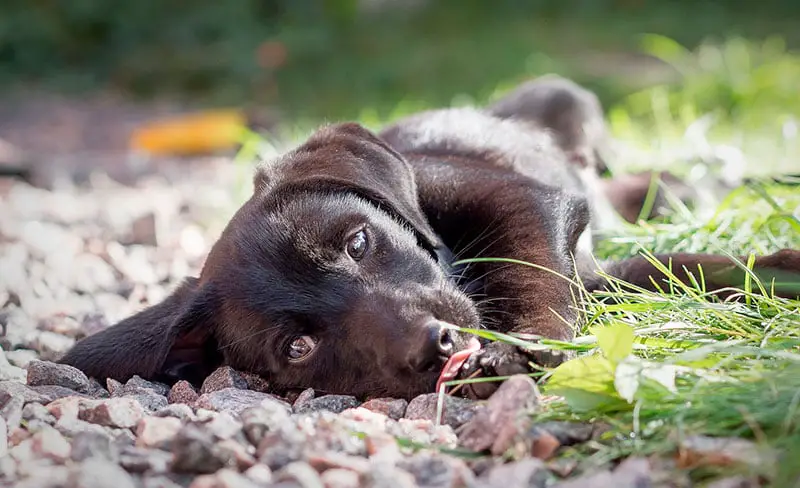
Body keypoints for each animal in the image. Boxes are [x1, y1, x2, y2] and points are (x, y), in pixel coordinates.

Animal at [61, 75, 800, 400]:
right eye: (298, 348)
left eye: (359, 244)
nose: (437, 346)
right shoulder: (598, 274)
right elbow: (680, 269)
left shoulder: (525, 203)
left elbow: (530, 272)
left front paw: (530, 345)